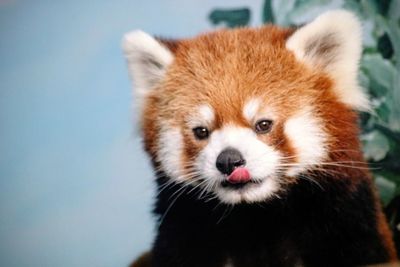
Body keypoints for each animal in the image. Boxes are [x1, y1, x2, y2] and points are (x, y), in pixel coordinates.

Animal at [122, 9, 396, 267]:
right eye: (201, 131)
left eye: (263, 125)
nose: (229, 161)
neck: (256, 219)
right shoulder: (183, 233)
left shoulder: (346, 223)